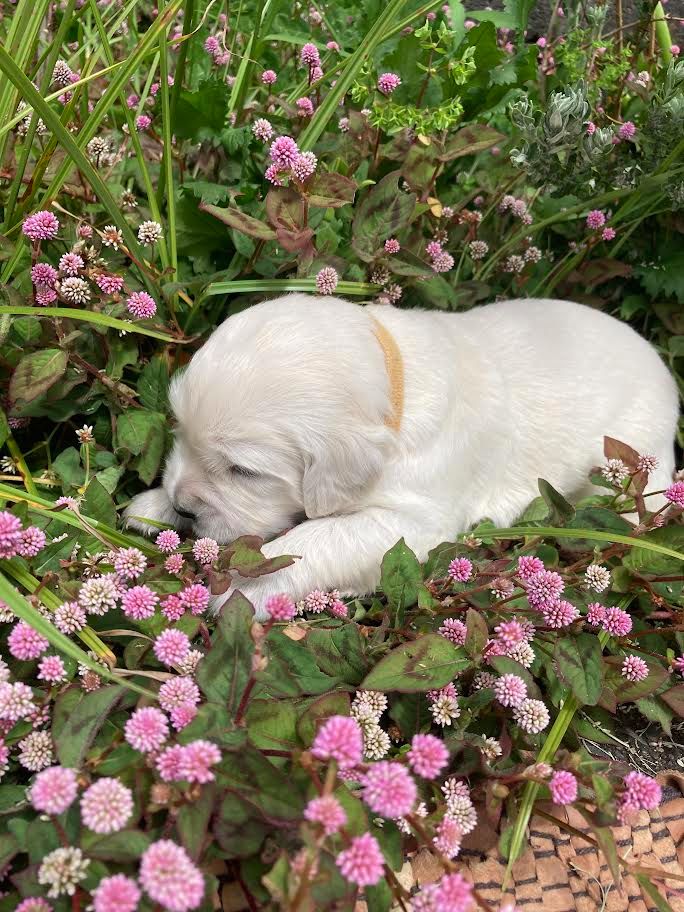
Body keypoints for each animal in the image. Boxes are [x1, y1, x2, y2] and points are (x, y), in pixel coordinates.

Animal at [127, 294, 680, 620]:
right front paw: (151, 507)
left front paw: (243, 585)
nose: (185, 508)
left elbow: (318, 537)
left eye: (244, 471)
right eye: (179, 431)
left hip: (635, 460)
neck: (396, 384)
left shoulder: (413, 524)